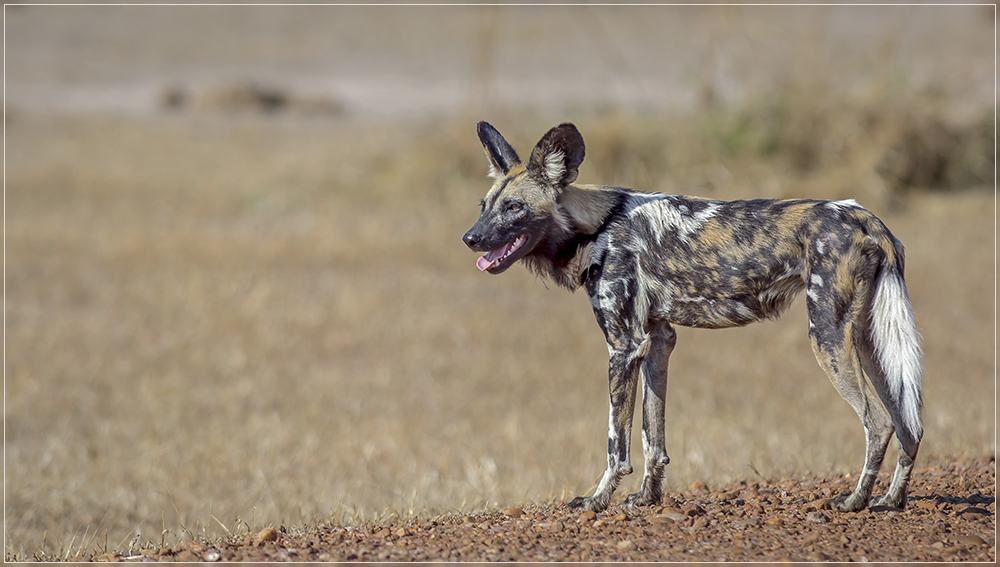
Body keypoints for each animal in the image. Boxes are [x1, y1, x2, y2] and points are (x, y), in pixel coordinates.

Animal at [464, 121, 924, 516]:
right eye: (484, 206)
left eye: (515, 207)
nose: (470, 238)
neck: (597, 227)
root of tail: (867, 217)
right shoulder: (656, 342)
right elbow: (653, 437)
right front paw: (647, 498)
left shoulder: (623, 347)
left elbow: (616, 444)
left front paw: (597, 501)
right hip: (867, 341)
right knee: (908, 424)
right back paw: (891, 500)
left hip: (826, 336)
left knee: (879, 423)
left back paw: (855, 501)